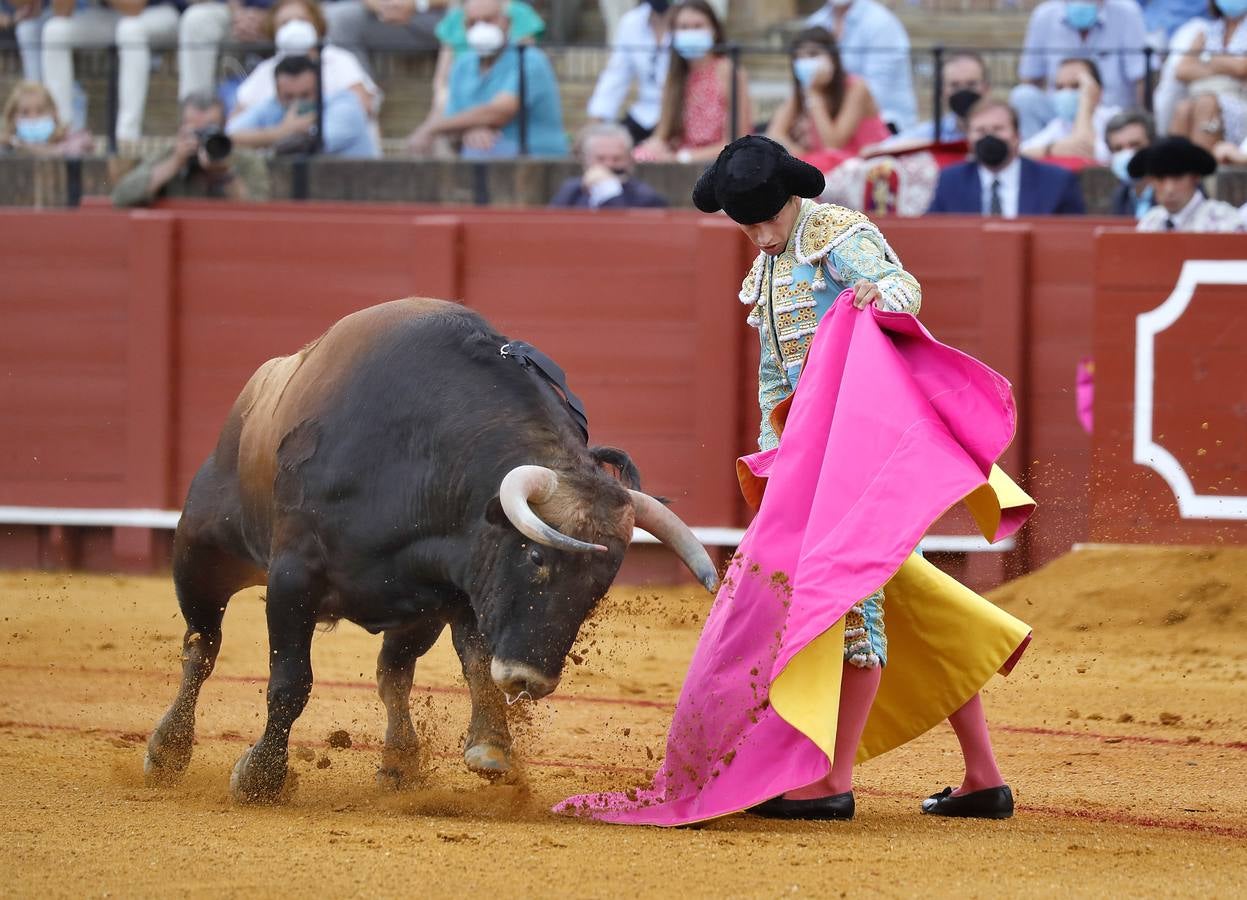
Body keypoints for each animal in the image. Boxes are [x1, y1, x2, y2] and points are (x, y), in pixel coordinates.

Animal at [141, 299, 718, 797]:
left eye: (600, 587)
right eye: (536, 557)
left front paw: (492, 747)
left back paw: (400, 764)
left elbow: (477, 664)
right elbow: (289, 681)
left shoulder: (458, 590)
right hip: (200, 553)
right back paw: (167, 751)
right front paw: (261, 775)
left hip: (414, 616)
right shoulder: (292, 578)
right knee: (202, 647)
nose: (530, 680)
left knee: (393, 674)